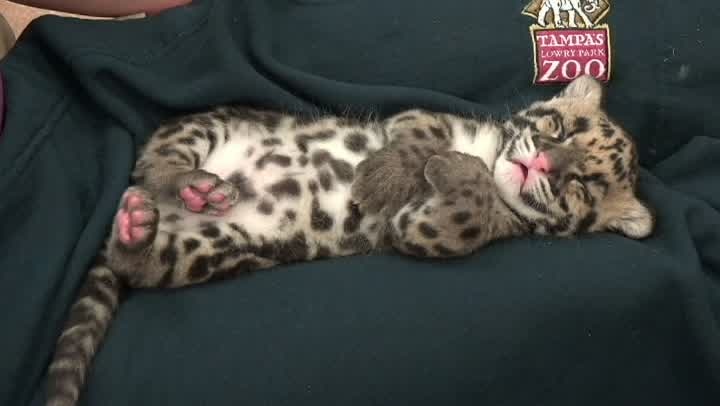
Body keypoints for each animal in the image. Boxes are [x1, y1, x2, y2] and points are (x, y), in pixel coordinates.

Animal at [46, 75, 654, 406]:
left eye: (581, 185)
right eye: (559, 130)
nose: (542, 165)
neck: (490, 152)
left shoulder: (425, 228)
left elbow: (464, 215)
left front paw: (462, 175)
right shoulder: (423, 115)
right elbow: (418, 137)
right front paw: (389, 172)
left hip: (209, 248)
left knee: (141, 262)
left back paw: (136, 229)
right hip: (201, 125)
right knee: (154, 162)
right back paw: (189, 183)